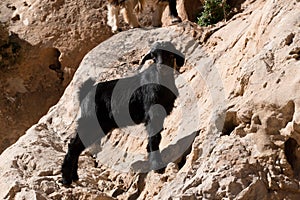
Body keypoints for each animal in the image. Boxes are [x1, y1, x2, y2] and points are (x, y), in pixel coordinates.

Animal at [61, 41, 185, 185]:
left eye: (170, 54)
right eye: (153, 56)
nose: (161, 67)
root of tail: (85, 94)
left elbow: (155, 137)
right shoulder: (152, 114)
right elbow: (154, 138)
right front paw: (157, 166)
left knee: (77, 145)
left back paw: (74, 176)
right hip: (91, 122)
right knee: (73, 146)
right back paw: (66, 179)